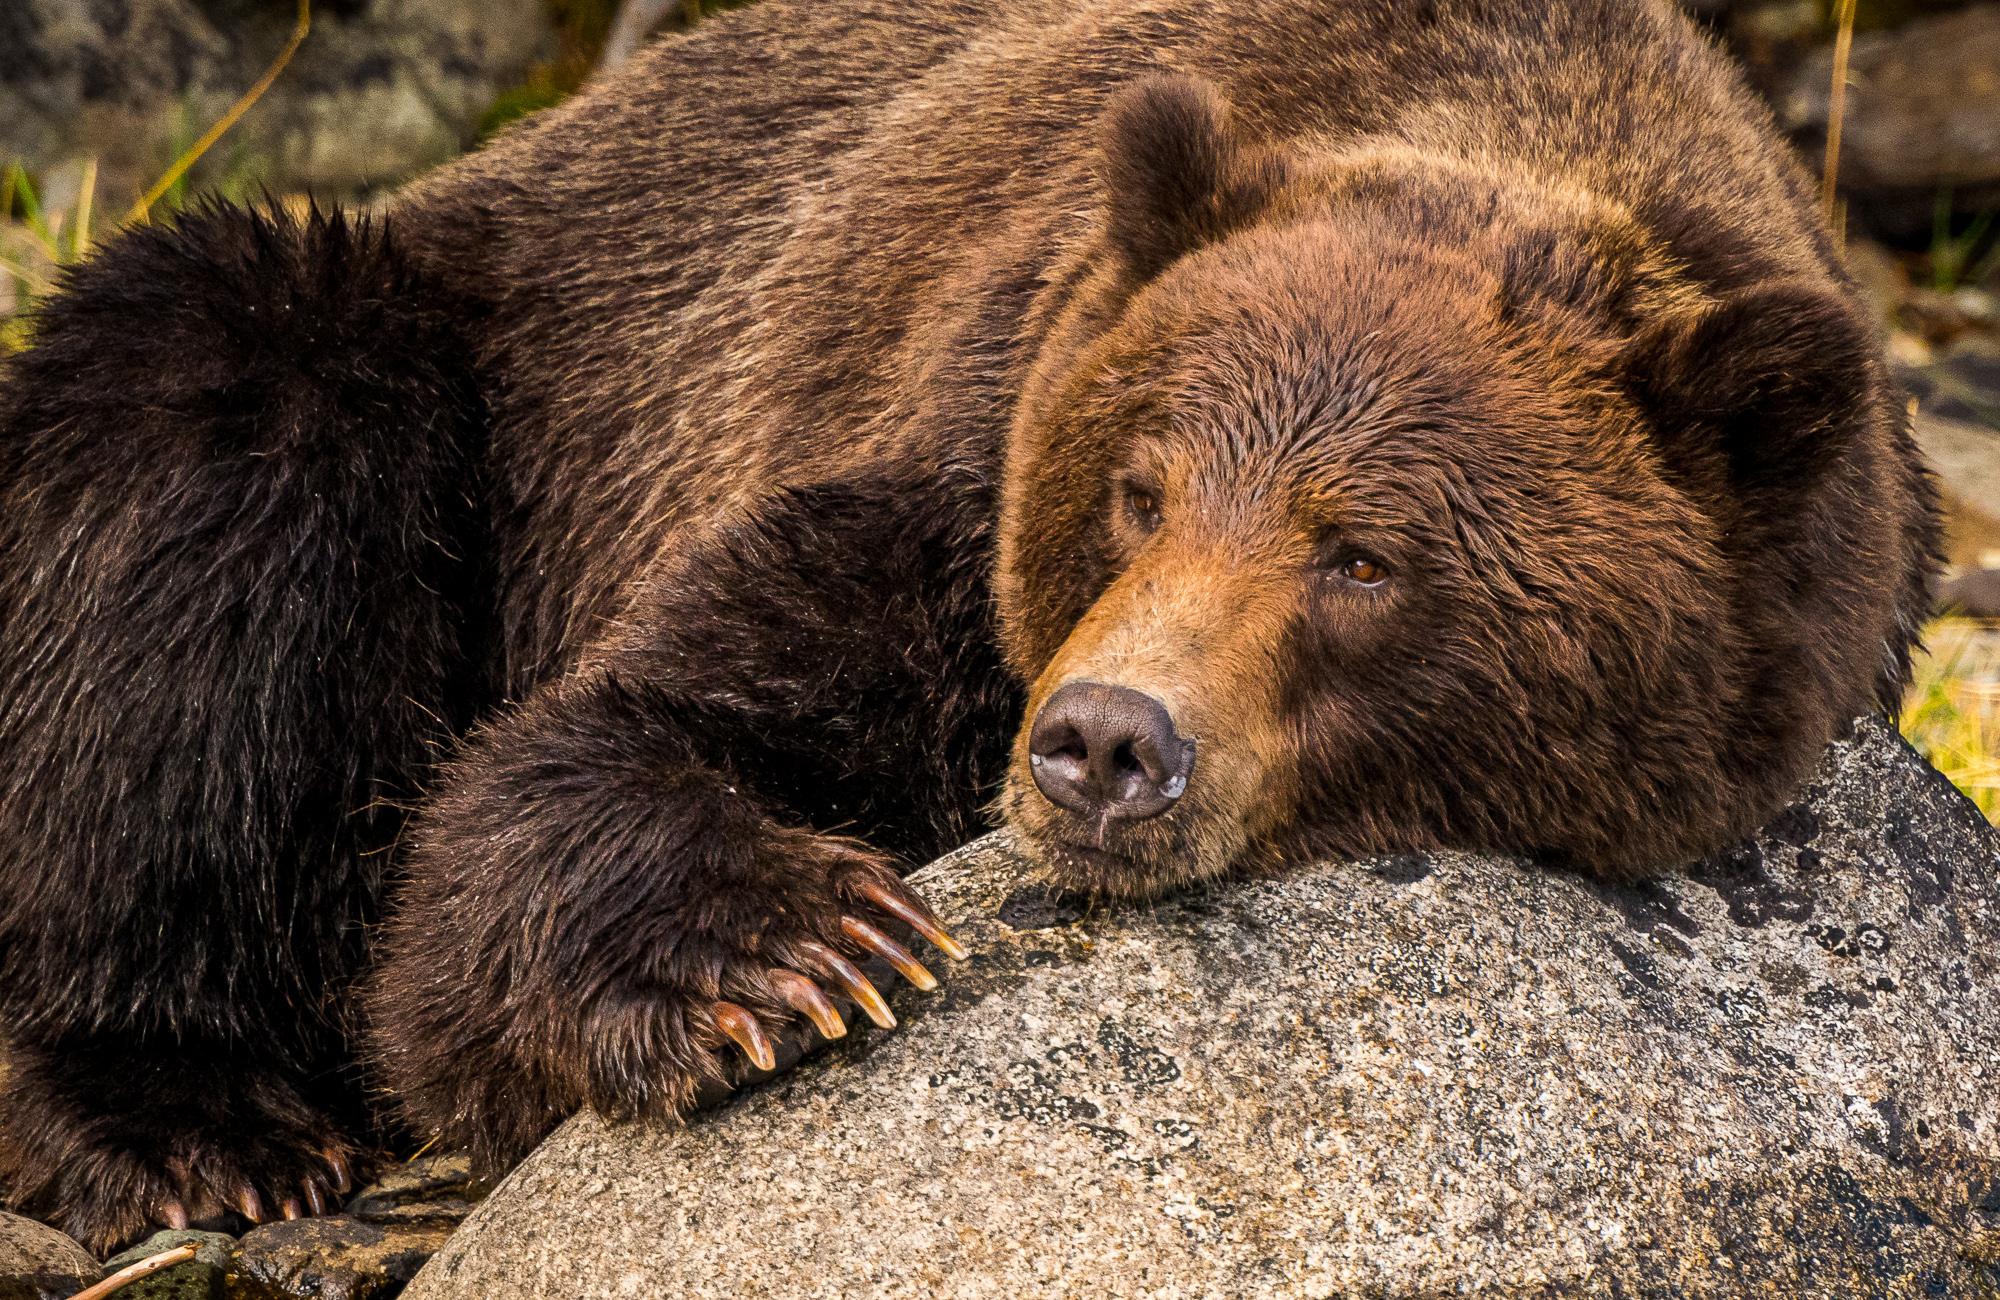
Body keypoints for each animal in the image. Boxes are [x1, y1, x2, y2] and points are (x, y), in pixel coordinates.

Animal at [0, 0, 1936, 1250]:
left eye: (1365, 558)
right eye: (1145, 486)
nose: (1105, 744)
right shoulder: (950, 442)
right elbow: (578, 770)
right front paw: (791, 954)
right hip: (451, 367)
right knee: (204, 462)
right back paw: (192, 1124)